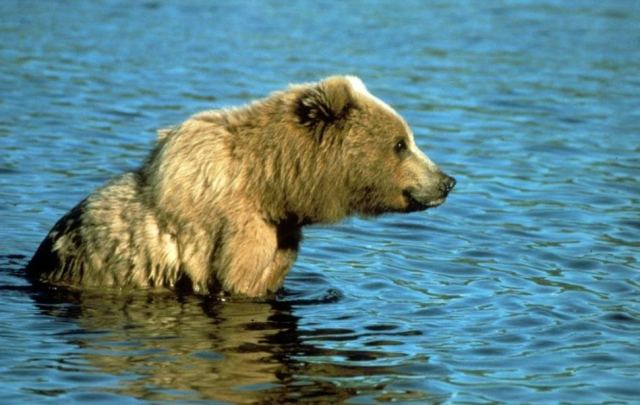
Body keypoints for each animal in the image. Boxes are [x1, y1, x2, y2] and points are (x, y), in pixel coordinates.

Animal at [26, 75, 456, 297]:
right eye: (400, 144)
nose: (446, 181)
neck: (271, 184)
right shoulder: (235, 229)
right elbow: (239, 282)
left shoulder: (281, 233)